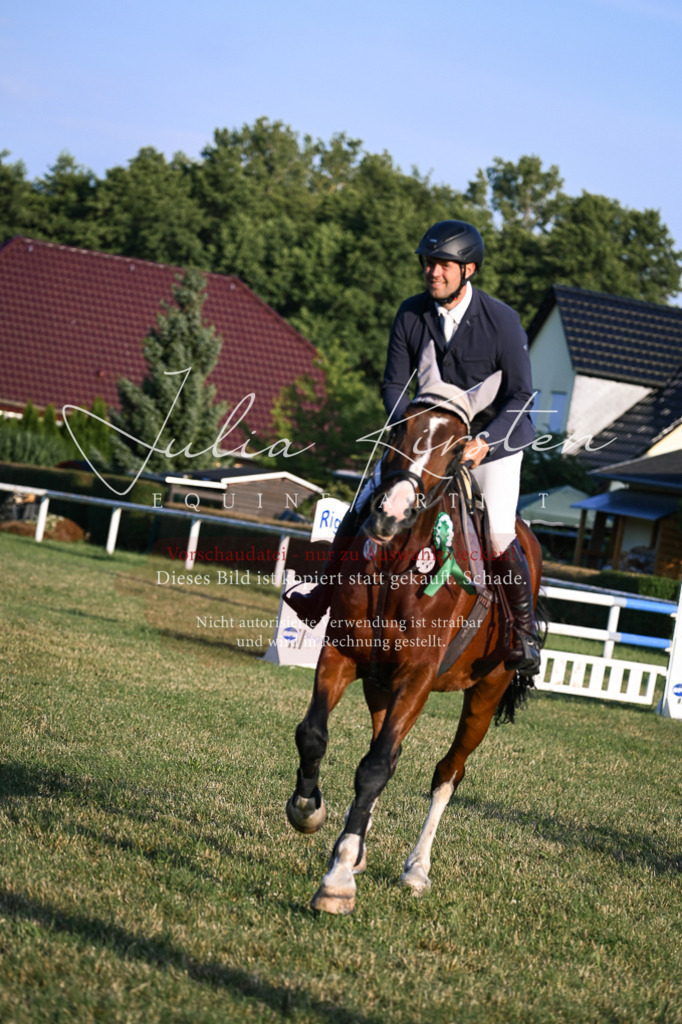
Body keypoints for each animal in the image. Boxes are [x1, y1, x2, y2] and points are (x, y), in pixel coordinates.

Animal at [285, 373, 542, 915]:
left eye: (457, 447)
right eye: (400, 428)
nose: (392, 513)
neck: (397, 565)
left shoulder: (418, 679)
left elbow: (375, 767)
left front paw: (338, 880)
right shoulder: (342, 656)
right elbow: (315, 735)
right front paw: (309, 812)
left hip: (486, 691)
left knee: (447, 772)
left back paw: (415, 869)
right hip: (380, 686)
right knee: (389, 750)